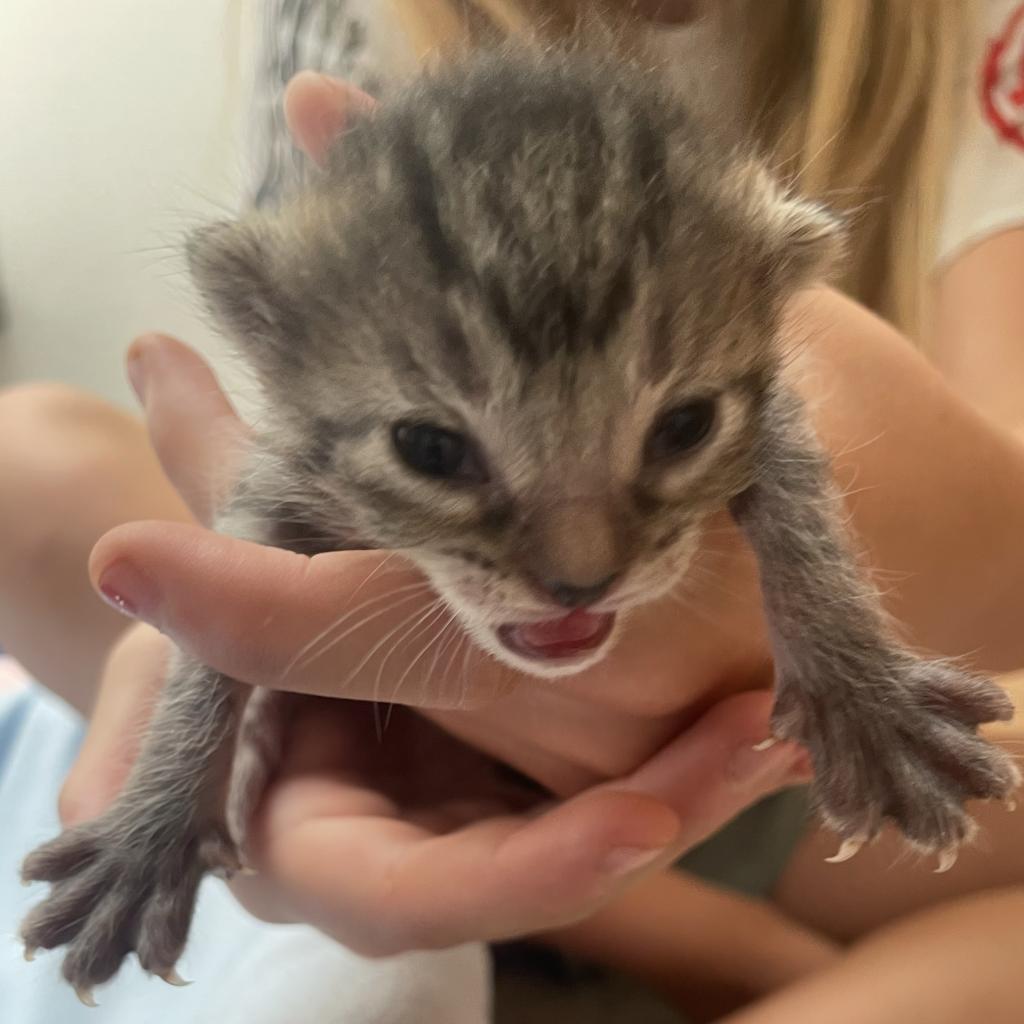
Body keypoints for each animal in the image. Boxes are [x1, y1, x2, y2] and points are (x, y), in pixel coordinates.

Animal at [19, 48, 1019, 999]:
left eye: (685, 426)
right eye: (429, 447)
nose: (582, 580)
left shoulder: (768, 415)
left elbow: (802, 504)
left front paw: (864, 697)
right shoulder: (278, 477)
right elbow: (201, 655)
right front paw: (157, 822)